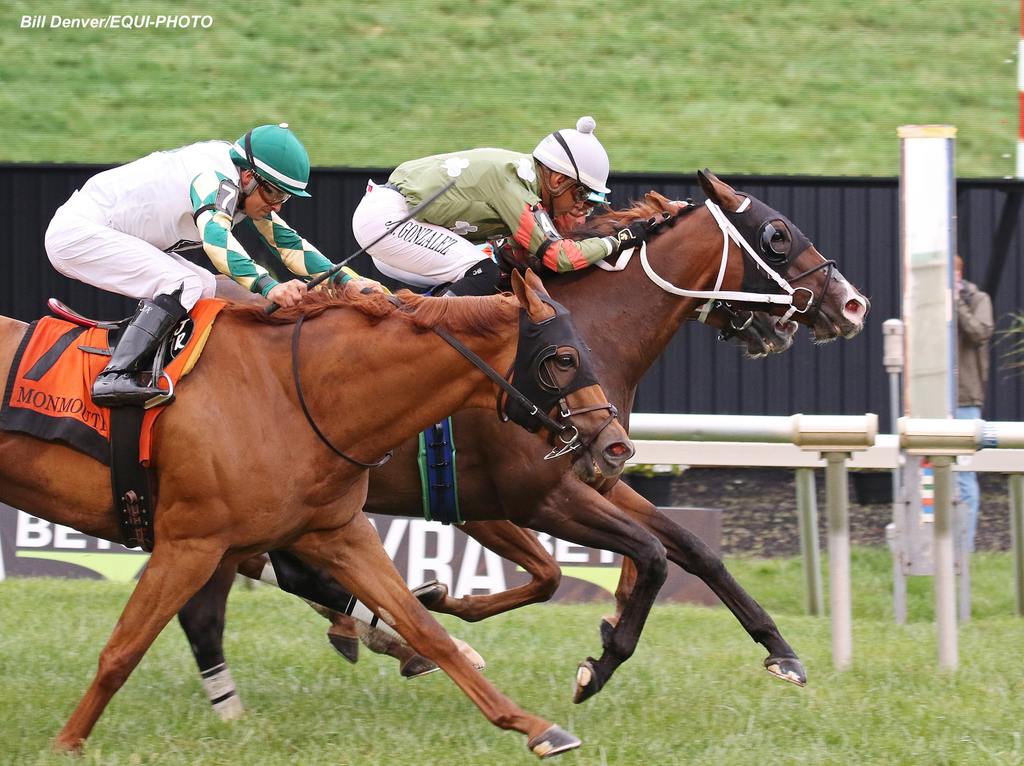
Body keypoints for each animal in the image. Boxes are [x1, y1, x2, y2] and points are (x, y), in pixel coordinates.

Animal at [0, 268, 630, 753]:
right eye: (564, 357)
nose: (615, 446)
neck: (290, 390)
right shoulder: (190, 543)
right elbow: (122, 650)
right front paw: (68, 743)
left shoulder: (336, 532)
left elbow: (424, 627)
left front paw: (535, 727)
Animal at [180, 171, 868, 708]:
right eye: (778, 236)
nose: (854, 304)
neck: (585, 337)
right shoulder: (526, 498)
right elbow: (633, 558)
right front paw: (596, 665)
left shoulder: (592, 475)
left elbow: (690, 550)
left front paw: (781, 651)